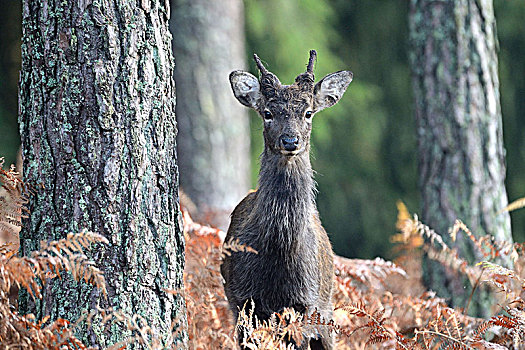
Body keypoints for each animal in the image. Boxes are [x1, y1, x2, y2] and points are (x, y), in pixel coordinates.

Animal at [221, 50, 352, 350]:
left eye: (308, 112)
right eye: (268, 113)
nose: (290, 141)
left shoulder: (305, 303)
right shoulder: (242, 299)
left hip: (325, 313)